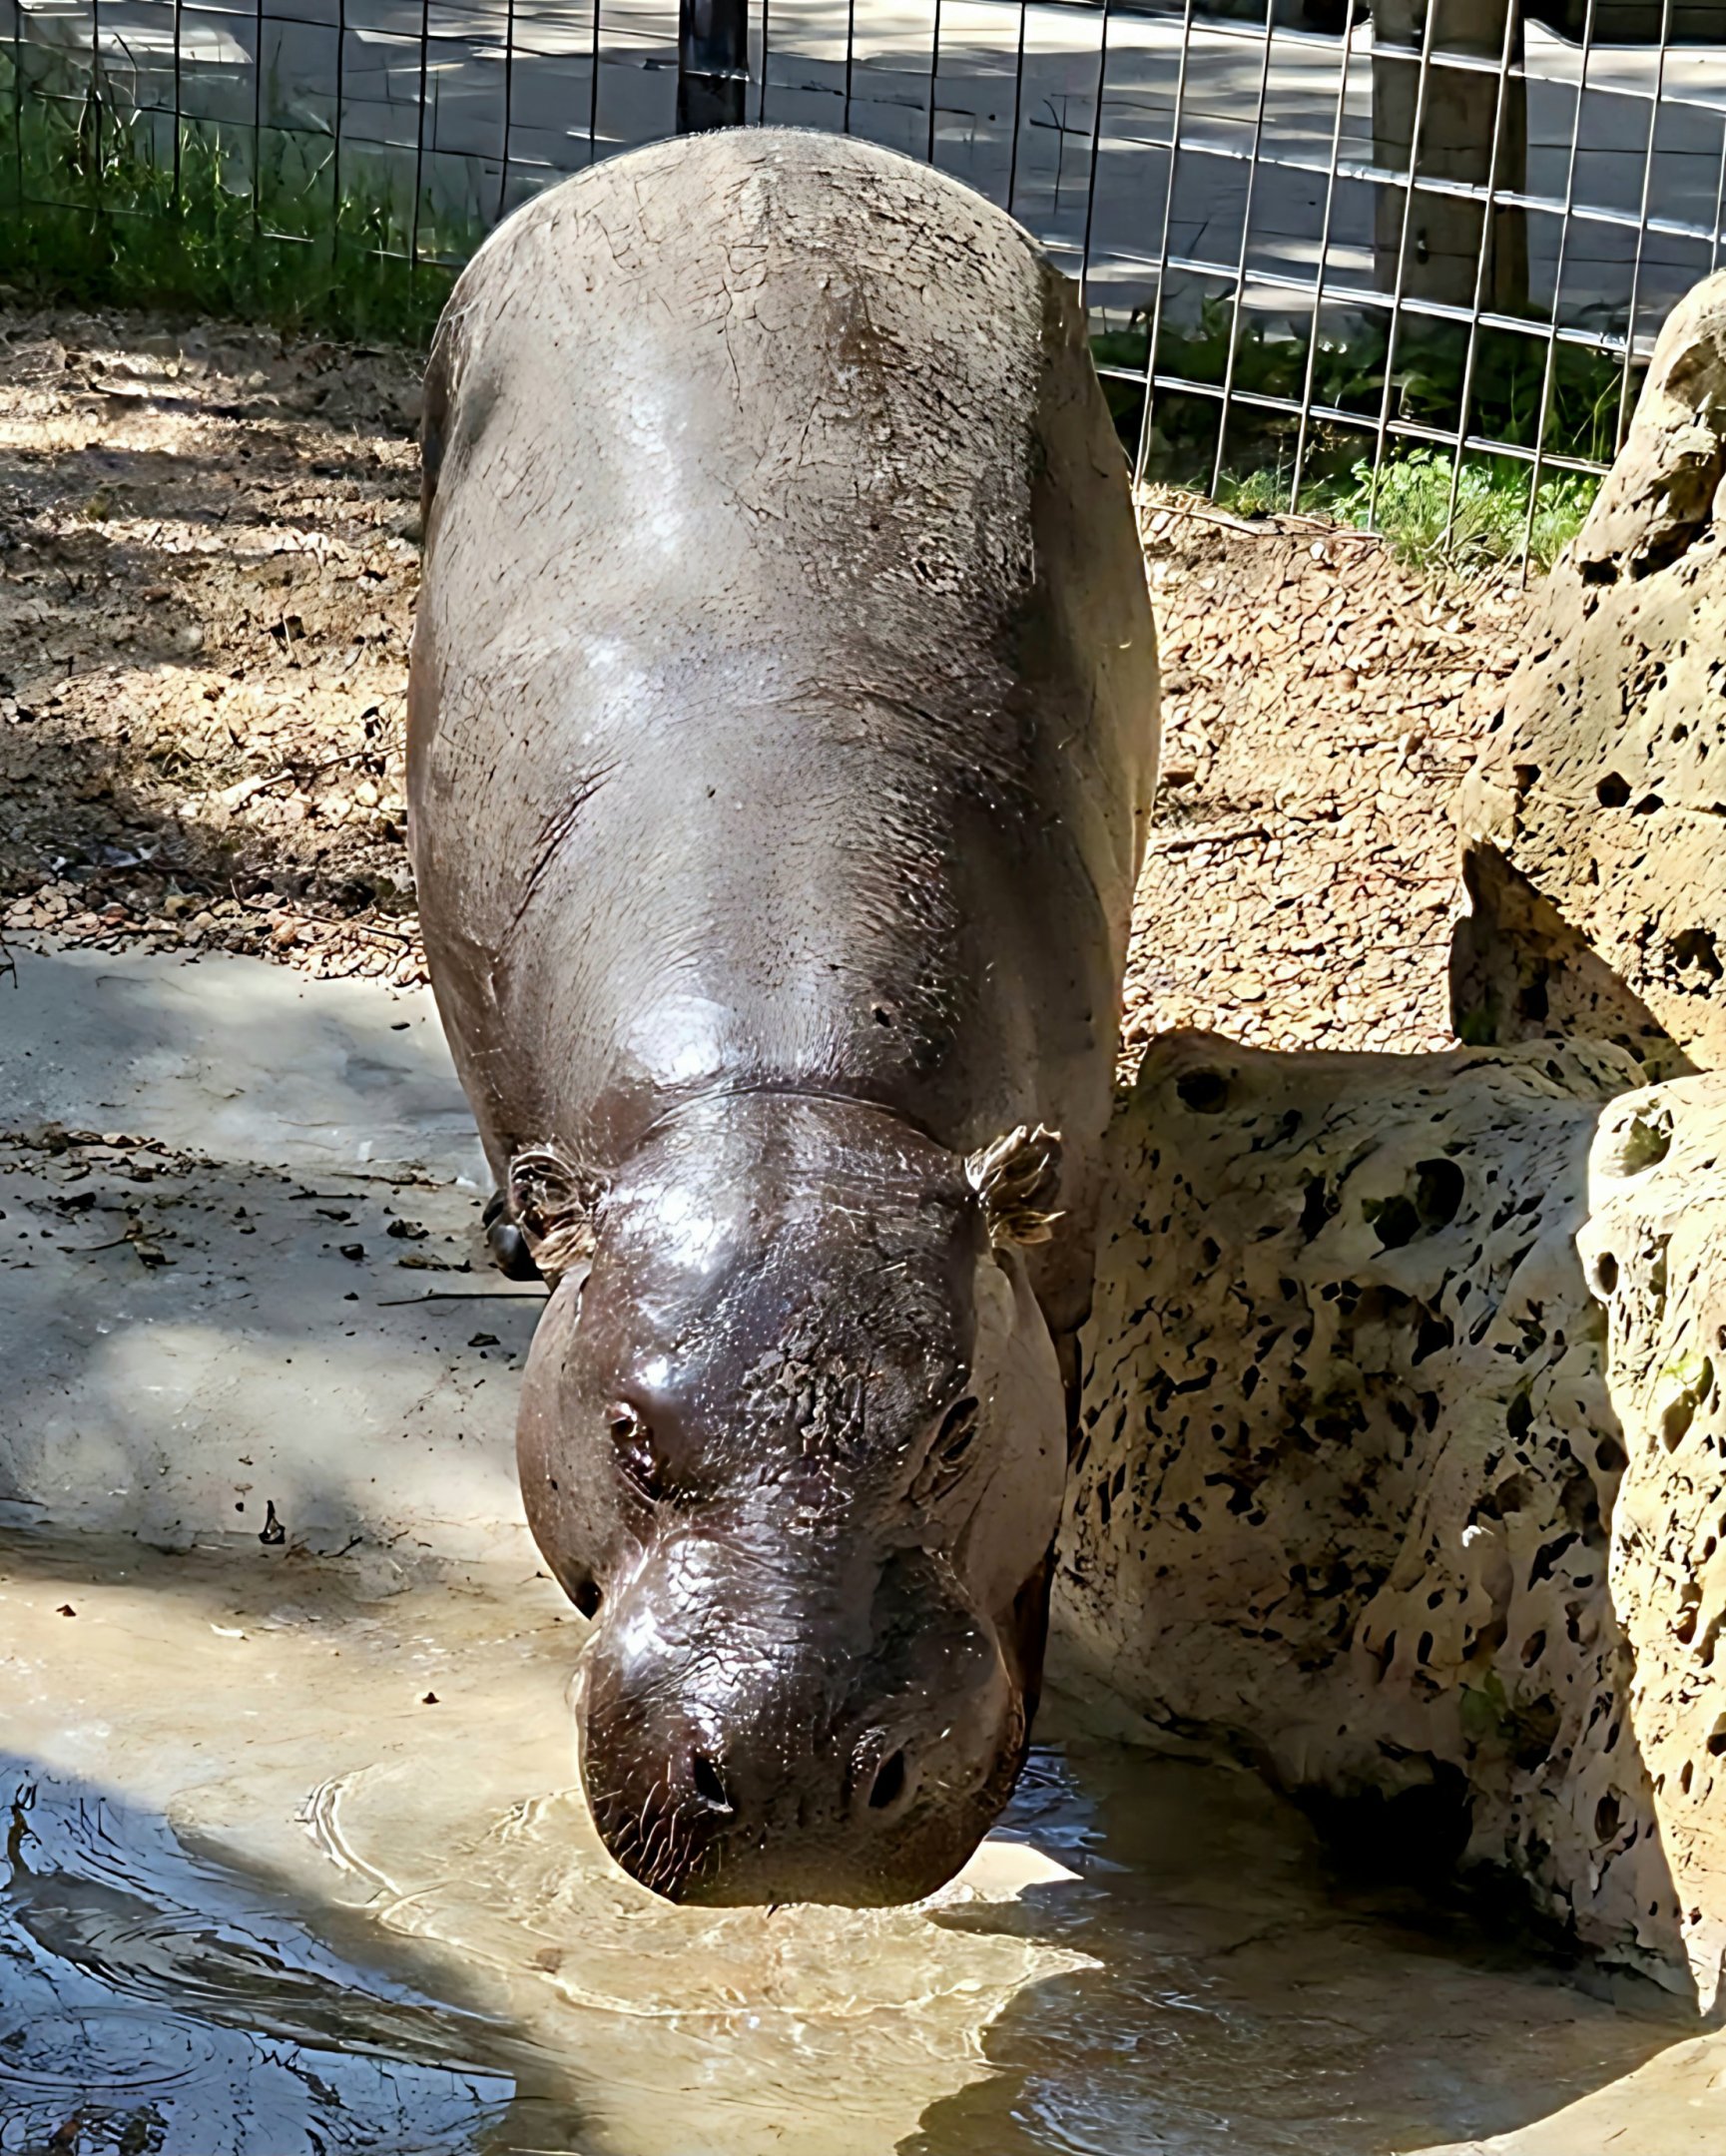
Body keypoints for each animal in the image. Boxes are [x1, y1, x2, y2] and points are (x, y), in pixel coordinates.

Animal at [407, 127, 1159, 1905]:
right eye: (625, 1434)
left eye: (956, 1425)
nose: (800, 1778)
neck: (784, 1092)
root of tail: (741, 138)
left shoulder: (1047, 1277)